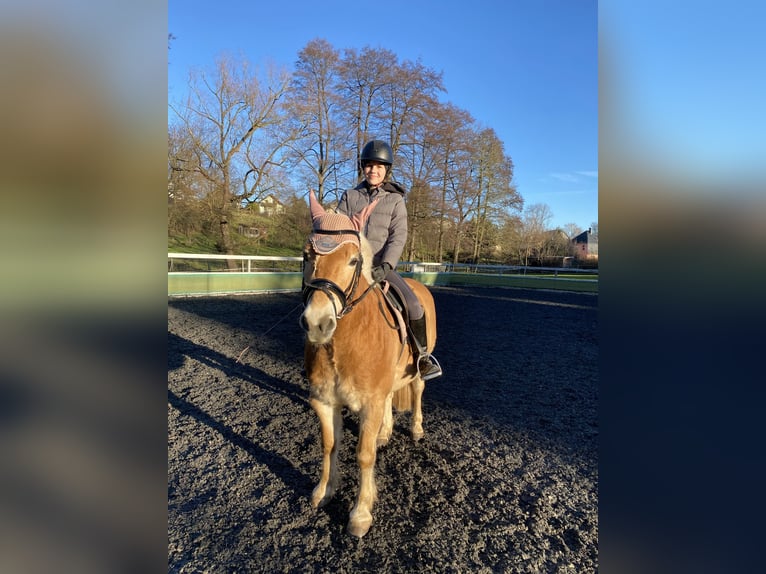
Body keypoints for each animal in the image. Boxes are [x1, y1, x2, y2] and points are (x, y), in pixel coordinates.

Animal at [299, 190, 438, 538]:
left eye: (352, 260)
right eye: (307, 255)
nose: (317, 323)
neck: (345, 342)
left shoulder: (370, 403)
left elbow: (364, 455)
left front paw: (360, 514)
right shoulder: (324, 401)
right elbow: (329, 445)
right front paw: (324, 491)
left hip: (419, 368)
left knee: (418, 390)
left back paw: (416, 429)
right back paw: (385, 433)